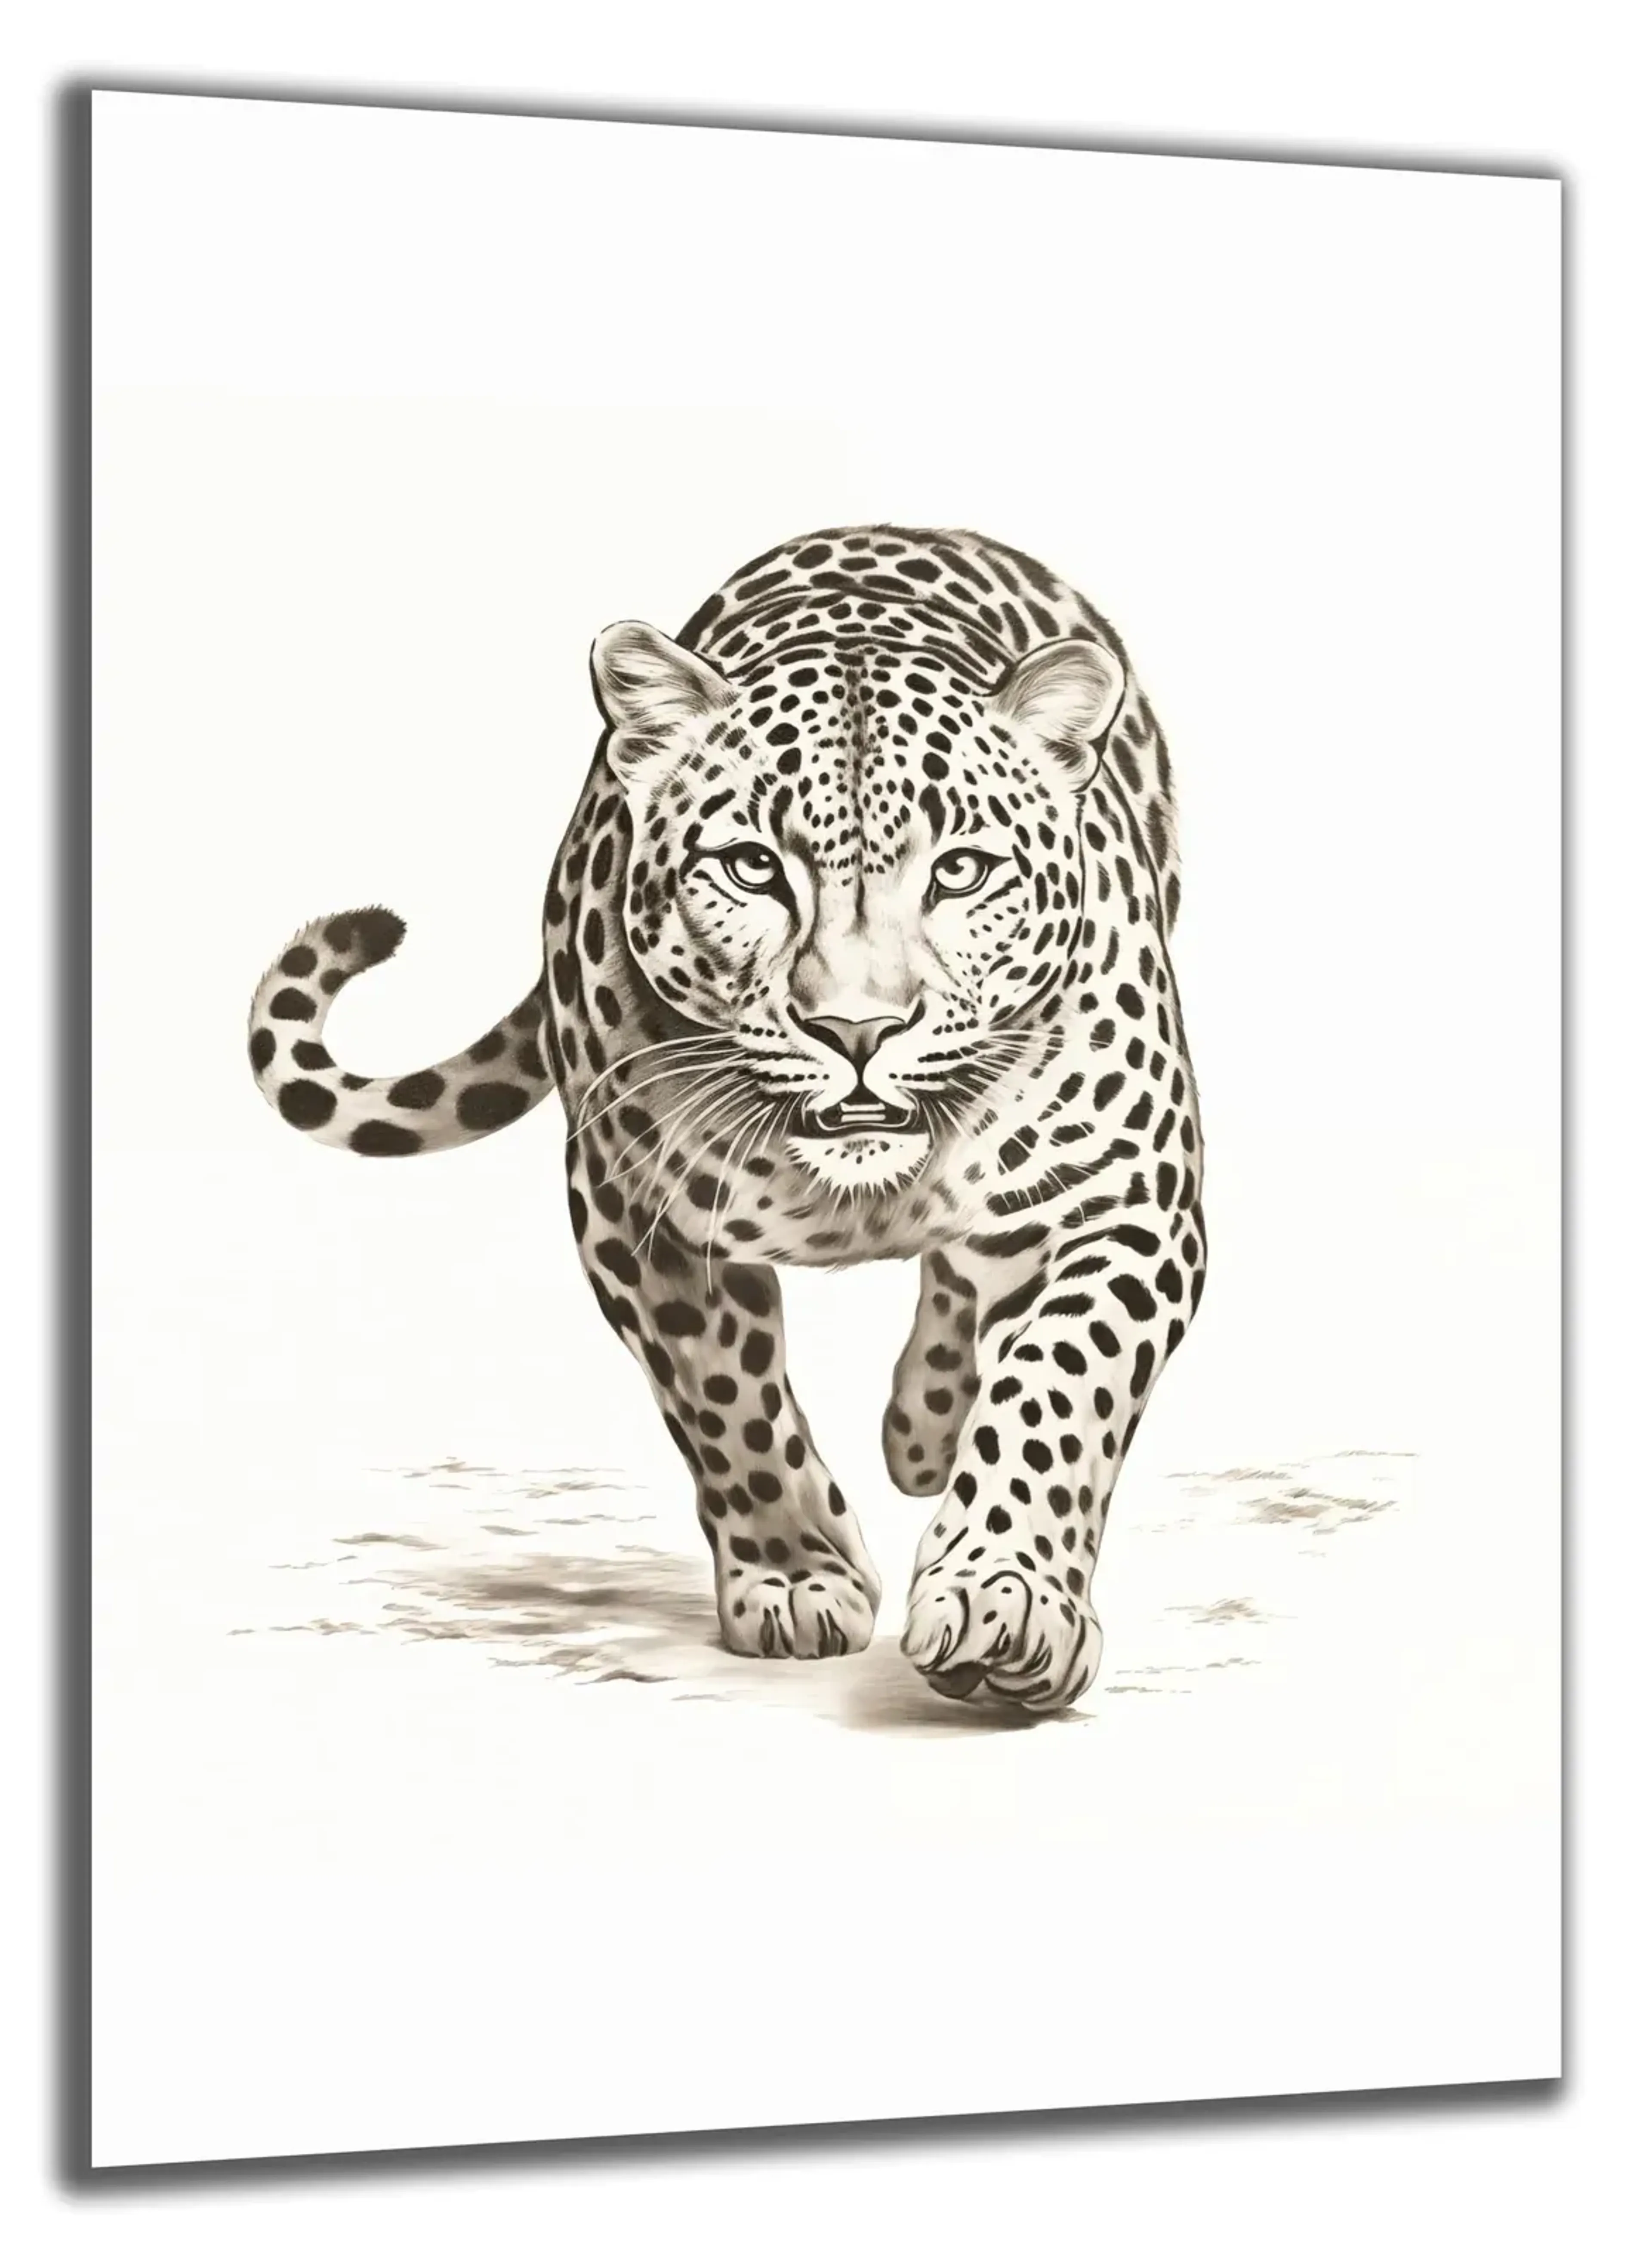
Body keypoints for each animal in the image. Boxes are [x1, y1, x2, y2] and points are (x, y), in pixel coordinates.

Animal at [247, 524, 1206, 1711]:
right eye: (752, 866)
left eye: (962, 872)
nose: (856, 1028)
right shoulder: (639, 1214)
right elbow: (726, 1400)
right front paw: (800, 1579)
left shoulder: (1131, 1195)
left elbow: (1058, 1383)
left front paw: (1004, 1596)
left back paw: (928, 1430)